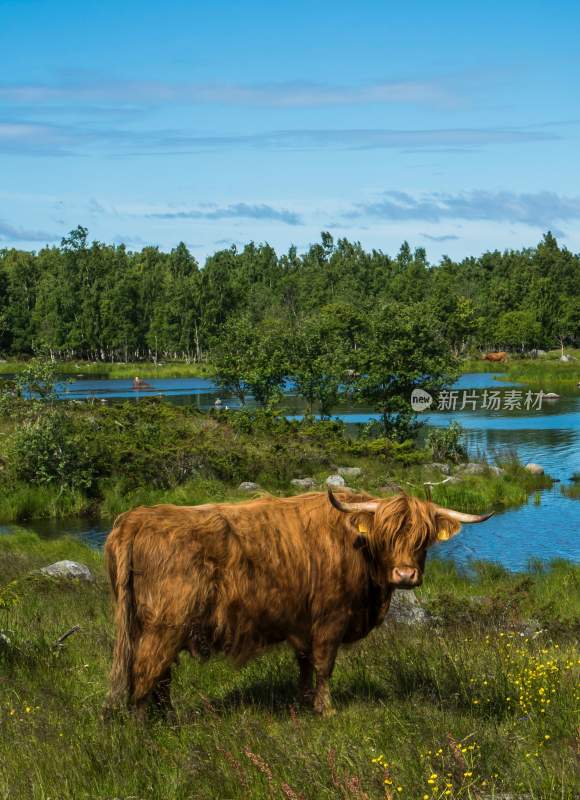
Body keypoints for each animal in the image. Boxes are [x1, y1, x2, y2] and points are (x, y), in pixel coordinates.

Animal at [103, 490, 490, 716]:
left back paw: (168, 718)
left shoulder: (303, 623)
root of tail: (134, 519)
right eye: (385, 535)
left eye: (423, 538)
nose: (405, 574)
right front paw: (326, 710)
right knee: (145, 672)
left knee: (160, 675)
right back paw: (145, 726)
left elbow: (304, 664)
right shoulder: (330, 619)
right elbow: (323, 666)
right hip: (165, 624)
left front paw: (303, 703)